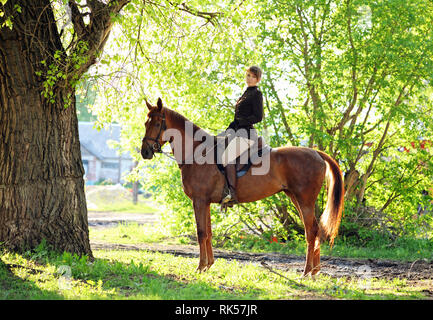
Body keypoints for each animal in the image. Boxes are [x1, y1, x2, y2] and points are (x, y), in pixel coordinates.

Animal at [140, 99, 342, 276]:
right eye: (145, 123)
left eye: (157, 124)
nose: (145, 152)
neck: (198, 152)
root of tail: (316, 152)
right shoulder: (206, 203)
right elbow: (209, 233)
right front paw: (209, 265)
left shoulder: (199, 201)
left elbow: (201, 233)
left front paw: (200, 266)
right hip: (295, 198)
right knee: (315, 230)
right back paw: (314, 271)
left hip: (304, 200)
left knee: (311, 231)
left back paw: (307, 272)